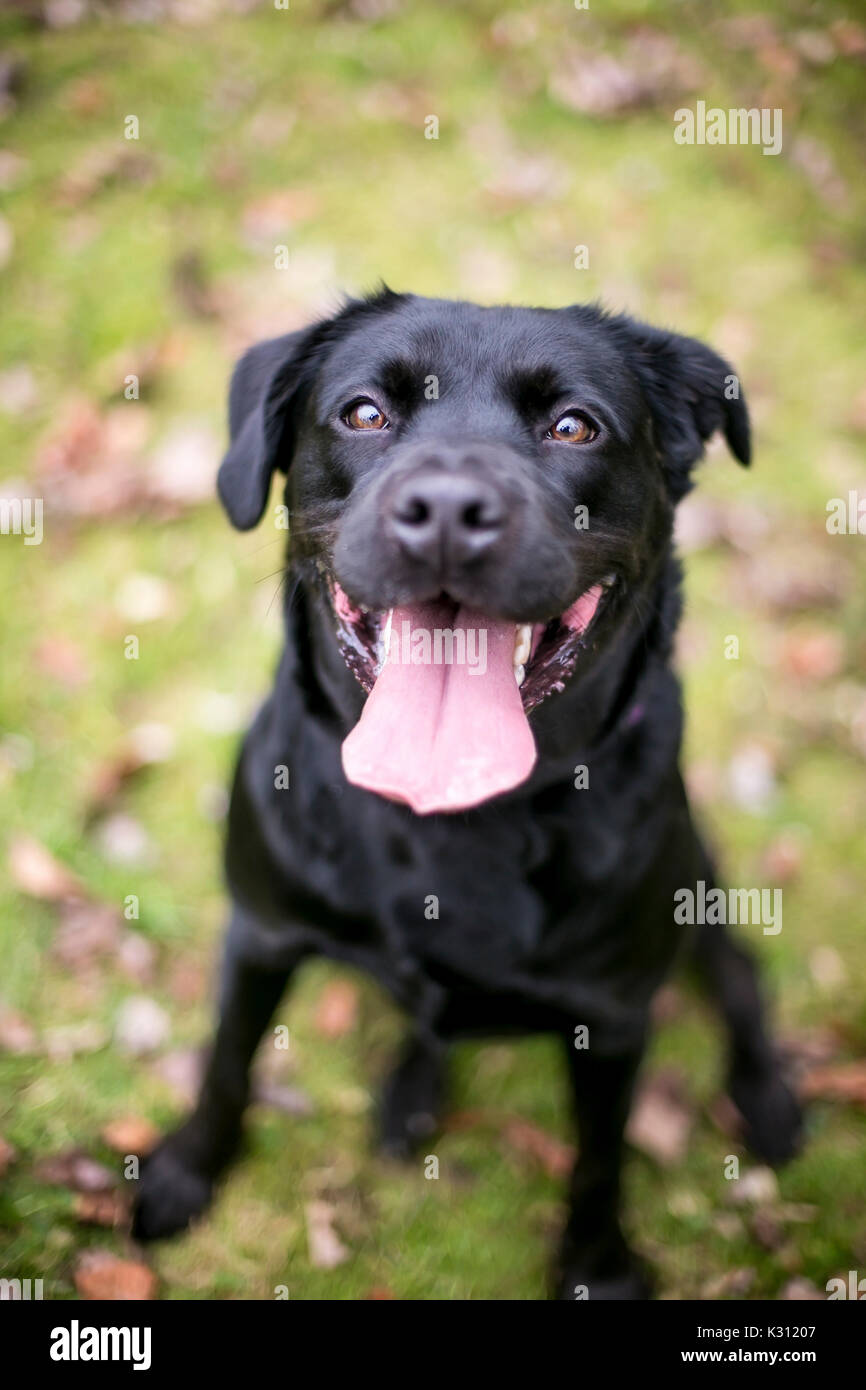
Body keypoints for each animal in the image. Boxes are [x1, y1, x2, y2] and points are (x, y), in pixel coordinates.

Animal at [132, 287, 800, 1295]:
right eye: (365, 413)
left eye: (574, 426)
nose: (447, 508)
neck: (454, 816)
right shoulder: (262, 932)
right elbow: (226, 1067)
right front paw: (183, 1175)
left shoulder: (612, 1017)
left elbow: (600, 1160)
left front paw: (599, 1267)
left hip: (704, 895)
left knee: (741, 978)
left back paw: (766, 1096)